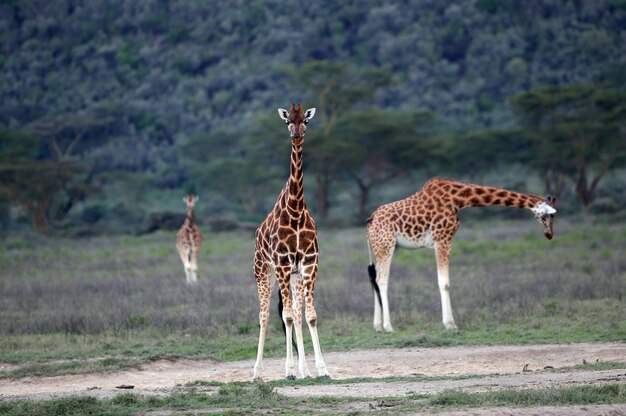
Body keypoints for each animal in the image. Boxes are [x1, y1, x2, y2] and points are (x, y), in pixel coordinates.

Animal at [251, 103, 330, 380]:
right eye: (287, 122)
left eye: (305, 120)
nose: (296, 135)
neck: (295, 210)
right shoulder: (283, 264)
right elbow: (284, 317)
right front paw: (288, 370)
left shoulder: (308, 263)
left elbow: (309, 316)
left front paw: (322, 369)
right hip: (264, 272)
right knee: (264, 316)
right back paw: (257, 372)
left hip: (294, 276)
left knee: (296, 313)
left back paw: (304, 369)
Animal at [366, 178, 556, 332]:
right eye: (548, 216)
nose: (549, 234)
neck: (458, 200)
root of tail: (370, 221)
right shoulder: (442, 239)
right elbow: (444, 282)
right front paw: (450, 324)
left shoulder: (444, 240)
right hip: (385, 246)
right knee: (381, 280)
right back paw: (388, 326)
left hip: (387, 247)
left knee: (375, 278)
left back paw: (377, 326)